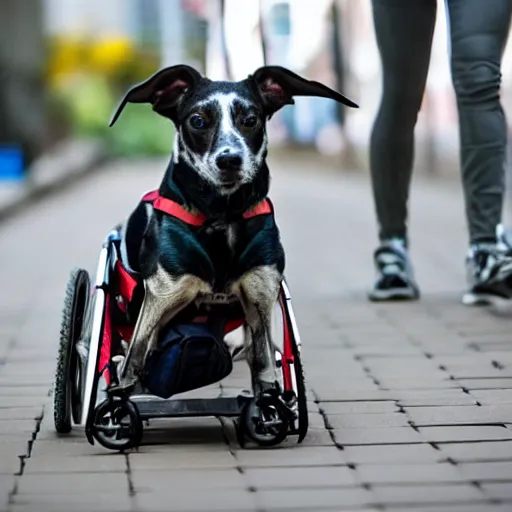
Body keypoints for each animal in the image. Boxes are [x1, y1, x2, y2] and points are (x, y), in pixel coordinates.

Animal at [107, 65, 356, 396]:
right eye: (197, 120)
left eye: (250, 119)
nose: (229, 160)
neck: (221, 216)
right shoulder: (162, 295)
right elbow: (132, 364)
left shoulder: (260, 295)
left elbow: (265, 369)